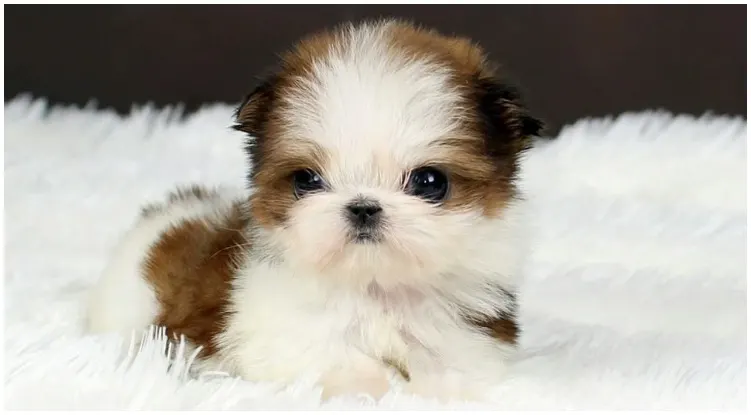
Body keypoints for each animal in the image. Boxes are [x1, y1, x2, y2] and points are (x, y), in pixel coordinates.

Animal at [88, 18, 544, 404]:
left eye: (430, 182)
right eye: (307, 179)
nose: (363, 207)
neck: (374, 286)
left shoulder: (465, 338)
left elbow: (449, 374)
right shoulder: (282, 337)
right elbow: (344, 368)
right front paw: (380, 389)